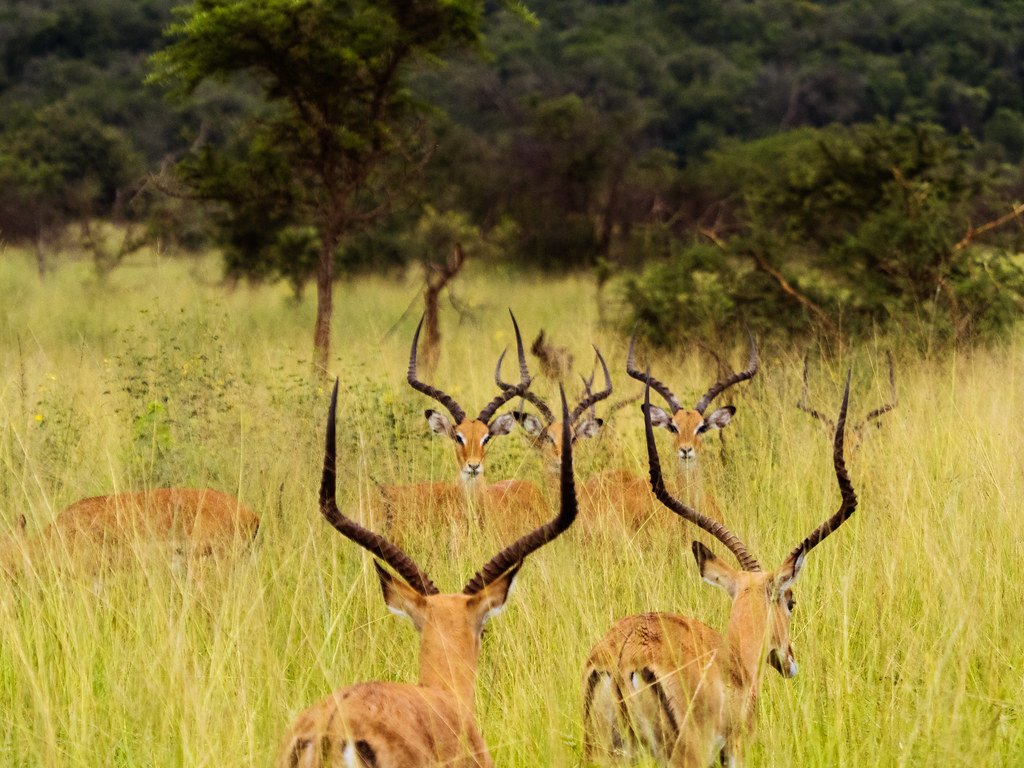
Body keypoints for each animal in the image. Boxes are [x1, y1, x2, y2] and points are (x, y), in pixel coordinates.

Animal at [581, 375, 857, 767]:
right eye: (790, 601)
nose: (790, 661)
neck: (734, 660)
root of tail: (621, 659)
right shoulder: (734, 749)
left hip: (602, 753)